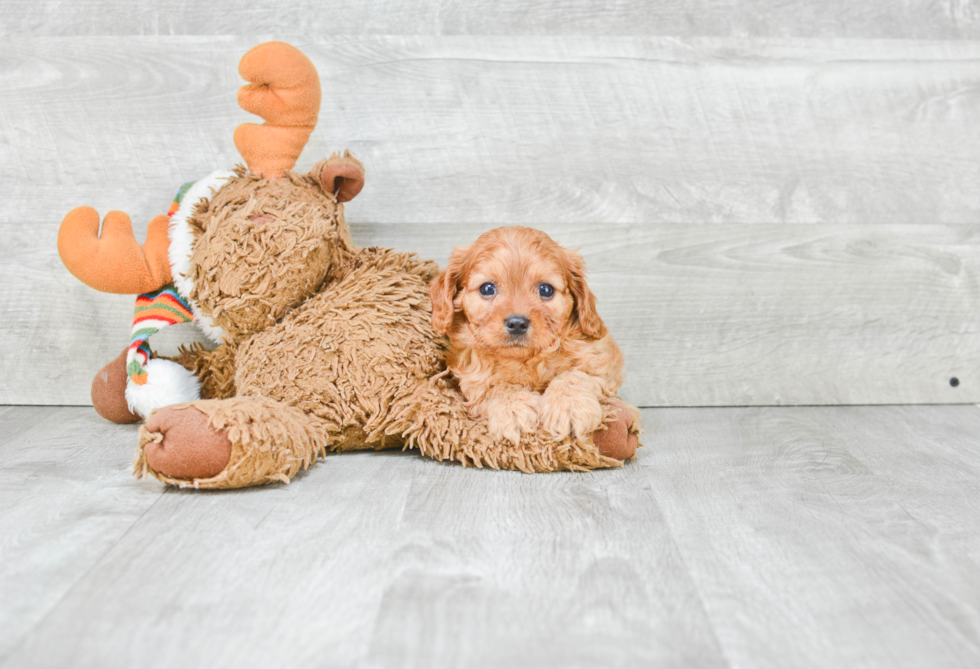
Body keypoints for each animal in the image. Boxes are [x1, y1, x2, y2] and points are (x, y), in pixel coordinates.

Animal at [430, 226, 628, 444]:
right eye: (487, 288)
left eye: (546, 289)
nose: (517, 323)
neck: (526, 359)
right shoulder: (472, 379)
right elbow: (496, 386)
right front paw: (513, 409)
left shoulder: (602, 361)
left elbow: (575, 375)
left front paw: (569, 406)